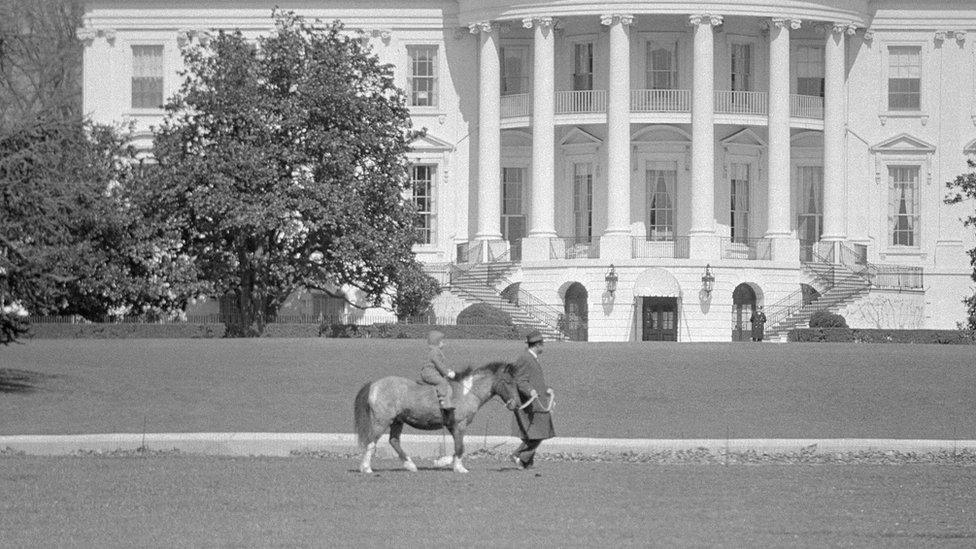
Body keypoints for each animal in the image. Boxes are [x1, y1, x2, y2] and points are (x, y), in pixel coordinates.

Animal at [352, 362, 520, 474]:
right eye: (508, 382)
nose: (516, 404)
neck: (466, 392)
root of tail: (374, 385)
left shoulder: (452, 426)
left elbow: (458, 448)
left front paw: (442, 462)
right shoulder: (460, 425)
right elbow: (460, 447)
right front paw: (459, 468)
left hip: (397, 421)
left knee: (393, 441)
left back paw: (410, 465)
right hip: (382, 421)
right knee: (371, 443)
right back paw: (366, 468)